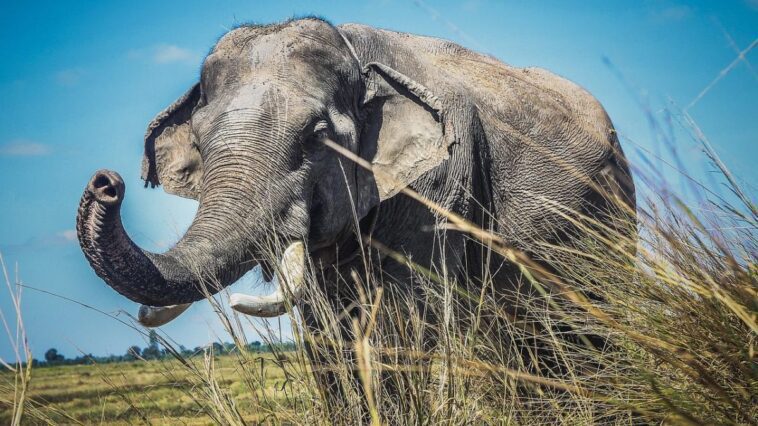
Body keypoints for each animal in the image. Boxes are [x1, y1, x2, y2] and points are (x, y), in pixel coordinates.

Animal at [76, 17, 635, 414]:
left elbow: (403, 318)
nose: (107, 183)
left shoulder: (439, 184)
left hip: (611, 221)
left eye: (315, 138)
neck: (355, 52)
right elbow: (324, 326)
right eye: (200, 139)